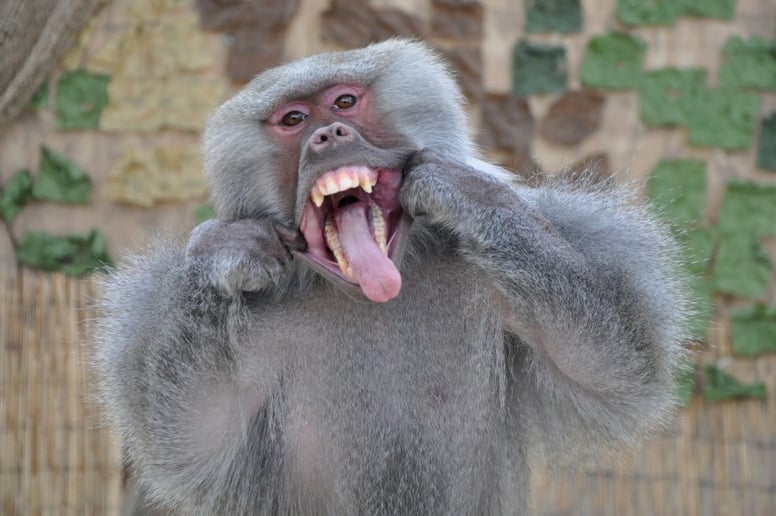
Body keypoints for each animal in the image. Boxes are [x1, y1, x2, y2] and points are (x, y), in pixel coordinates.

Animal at [95, 39, 689, 516]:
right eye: (293, 120)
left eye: (344, 102)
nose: (329, 135)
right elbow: (191, 438)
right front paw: (226, 253)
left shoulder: (560, 229)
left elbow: (613, 367)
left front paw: (464, 193)